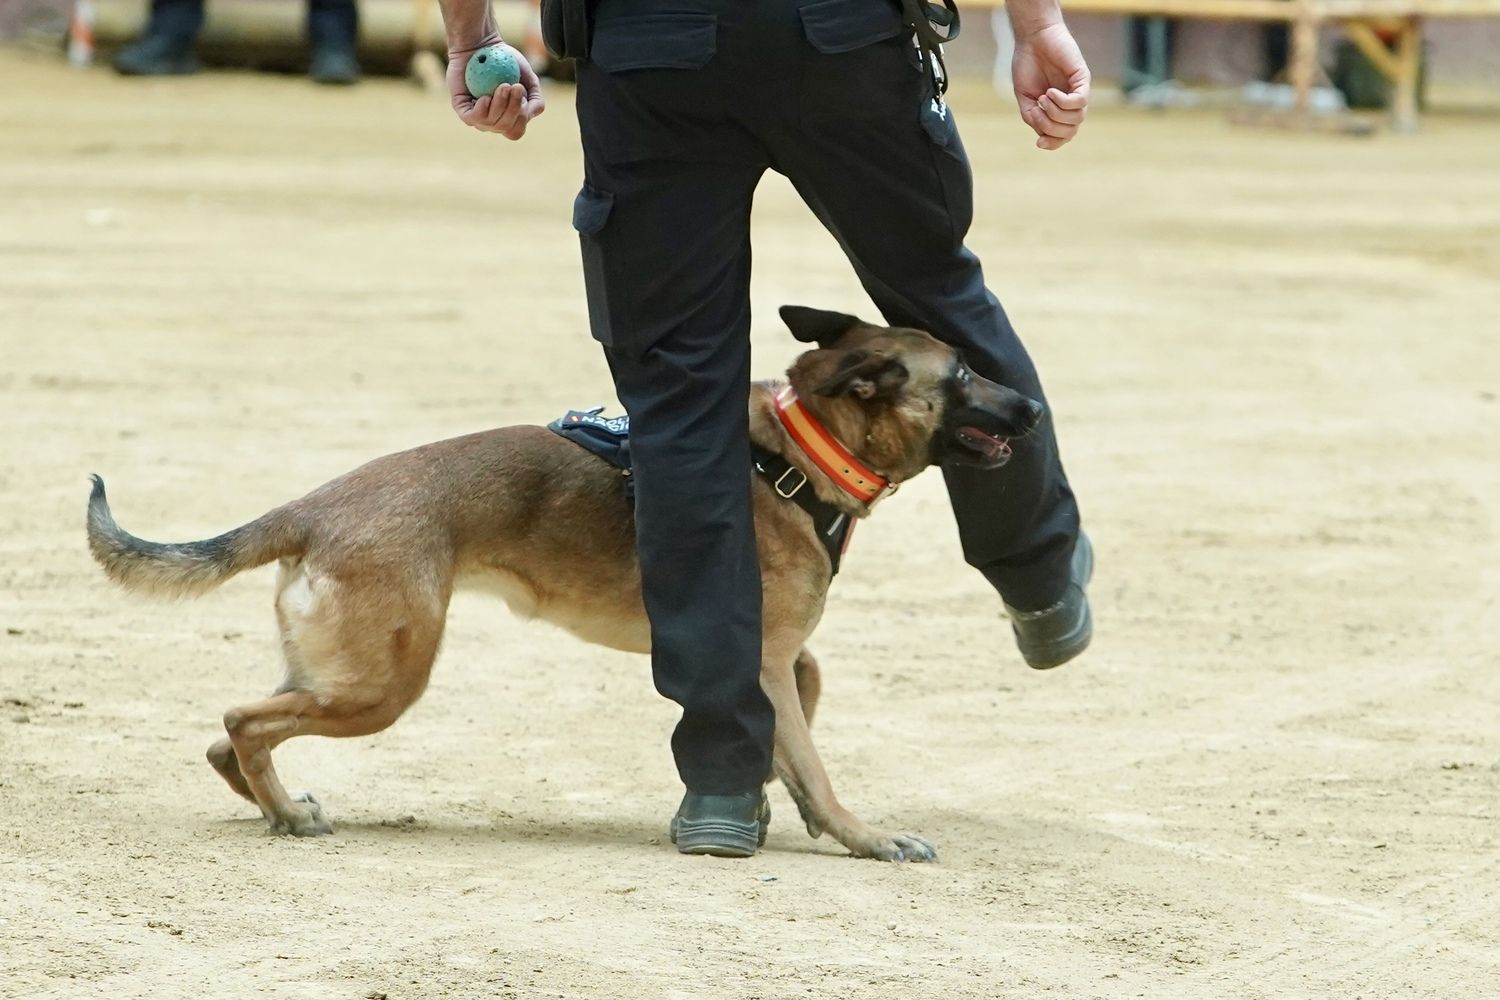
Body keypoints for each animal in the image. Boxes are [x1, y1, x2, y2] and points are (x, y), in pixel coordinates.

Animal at [85, 305, 1044, 863]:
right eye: (963, 376)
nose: (1035, 409)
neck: (795, 452)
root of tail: (312, 507)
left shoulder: (785, 662)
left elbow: (798, 718)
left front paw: (774, 806)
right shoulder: (765, 659)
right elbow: (811, 754)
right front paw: (859, 835)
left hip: (336, 672)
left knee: (233, 737)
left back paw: (275, 805)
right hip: (383, 686)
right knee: (242, 723)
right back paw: (286, 815)